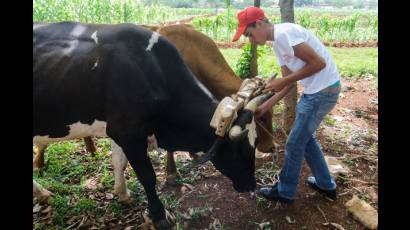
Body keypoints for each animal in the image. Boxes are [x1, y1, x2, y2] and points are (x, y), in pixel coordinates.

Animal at [32, 22, 270, 228]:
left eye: (255, 141)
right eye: (238, 150)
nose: (251, 185)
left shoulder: (120, 130)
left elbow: (119, 161)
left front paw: (122, 193)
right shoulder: (127, 132)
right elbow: (148, 176)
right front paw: (159, 215)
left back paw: (42, 193)